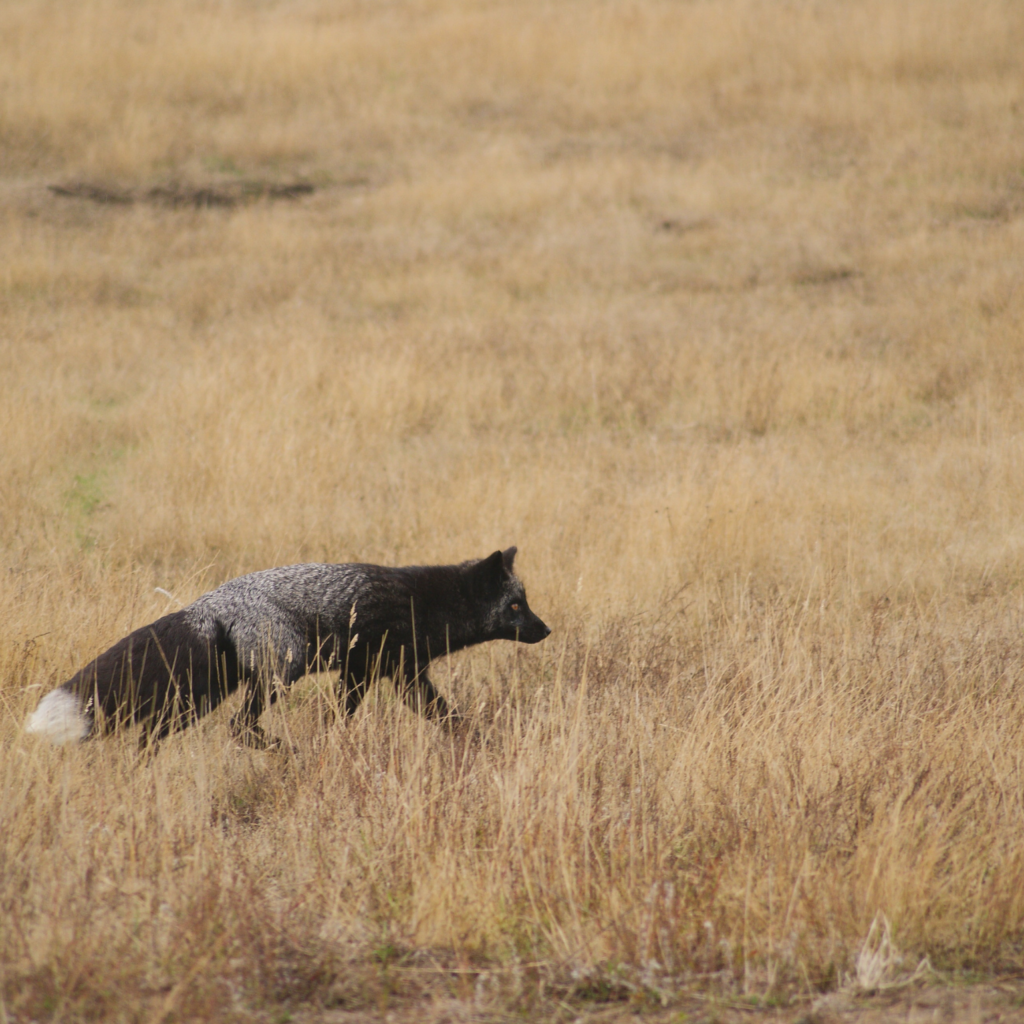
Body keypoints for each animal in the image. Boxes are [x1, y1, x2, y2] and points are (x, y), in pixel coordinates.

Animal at [25, 548, 552, 749]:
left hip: (204, 696)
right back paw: (285, 750)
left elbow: (445, 717)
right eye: (515, 606)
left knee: (155, 733)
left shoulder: (398, 675)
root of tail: (205, 603)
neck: (425, 600)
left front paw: (481, 745)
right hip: (281, 671)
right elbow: (348, 715)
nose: (546, 630)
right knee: (239, 728)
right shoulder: (369, 670)